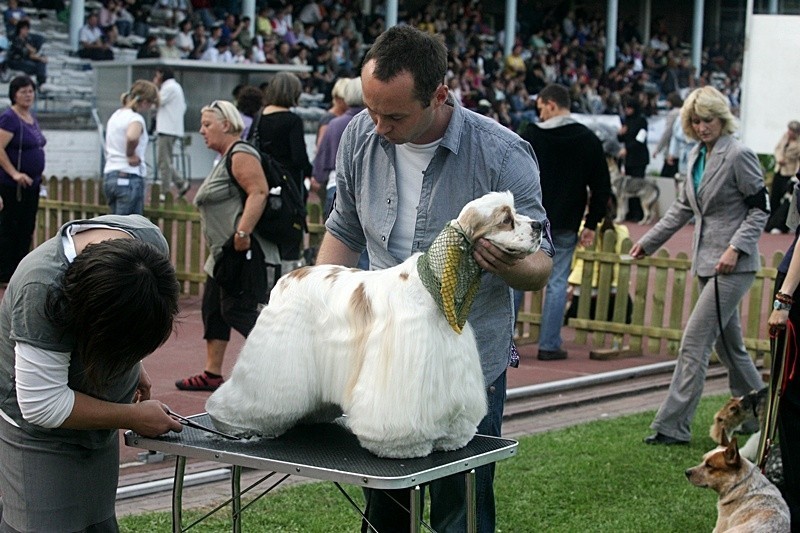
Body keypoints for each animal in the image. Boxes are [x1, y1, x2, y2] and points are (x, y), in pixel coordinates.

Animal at [206, 191, 544, 458]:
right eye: (506, 219)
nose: (540, 226)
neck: (433, 286)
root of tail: (291, 275)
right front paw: (404, 446)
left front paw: (452, 438)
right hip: (277, 350)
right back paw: (233, 421)